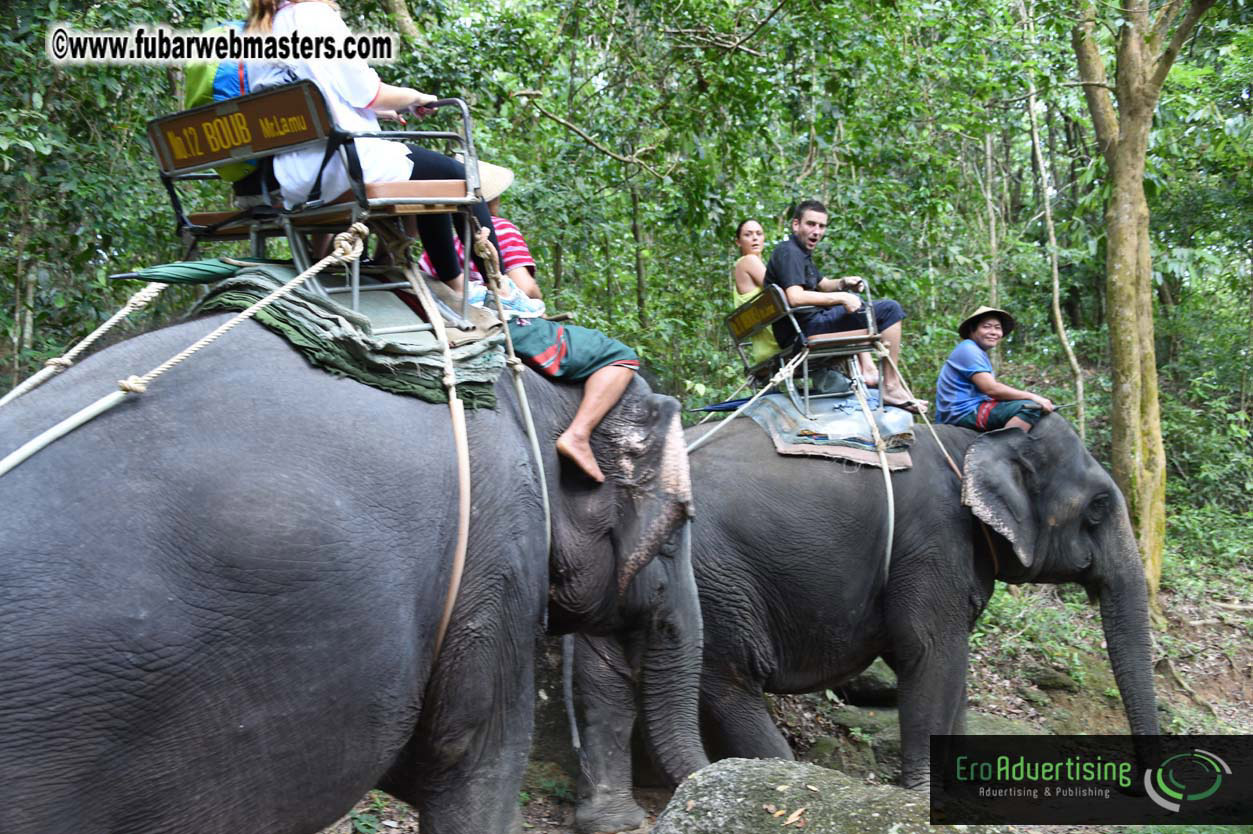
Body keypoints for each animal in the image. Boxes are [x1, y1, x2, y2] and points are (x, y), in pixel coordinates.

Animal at [571, 412, 1159, 833]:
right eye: (1099, 507)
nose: (1133, 787)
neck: (976, 442)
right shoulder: (932, 542)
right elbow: (929, 653)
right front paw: (924, 798)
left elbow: (947, 666)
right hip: (711, 583)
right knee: (729, 680)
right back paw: (787, 777)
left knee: (607, 679)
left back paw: (613, 821)